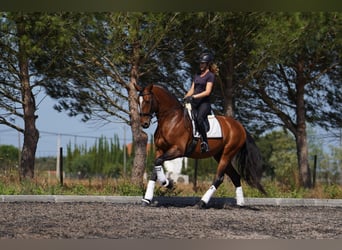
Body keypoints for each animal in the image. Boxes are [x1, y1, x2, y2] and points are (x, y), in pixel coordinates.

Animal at [135, 83, 266, 208]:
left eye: (147, 100)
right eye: (138, 101)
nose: (144, 123)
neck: (171, 119)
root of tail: (239, 126)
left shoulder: (178, 150)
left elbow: (158, 163)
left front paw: (168, 184)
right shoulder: (160, 150)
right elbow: (155, 170)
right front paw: (147, 199)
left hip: (227, 154)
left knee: (219, 178)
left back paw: (201, 203)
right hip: (219, 155)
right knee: (235, 176)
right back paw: (240, 203)